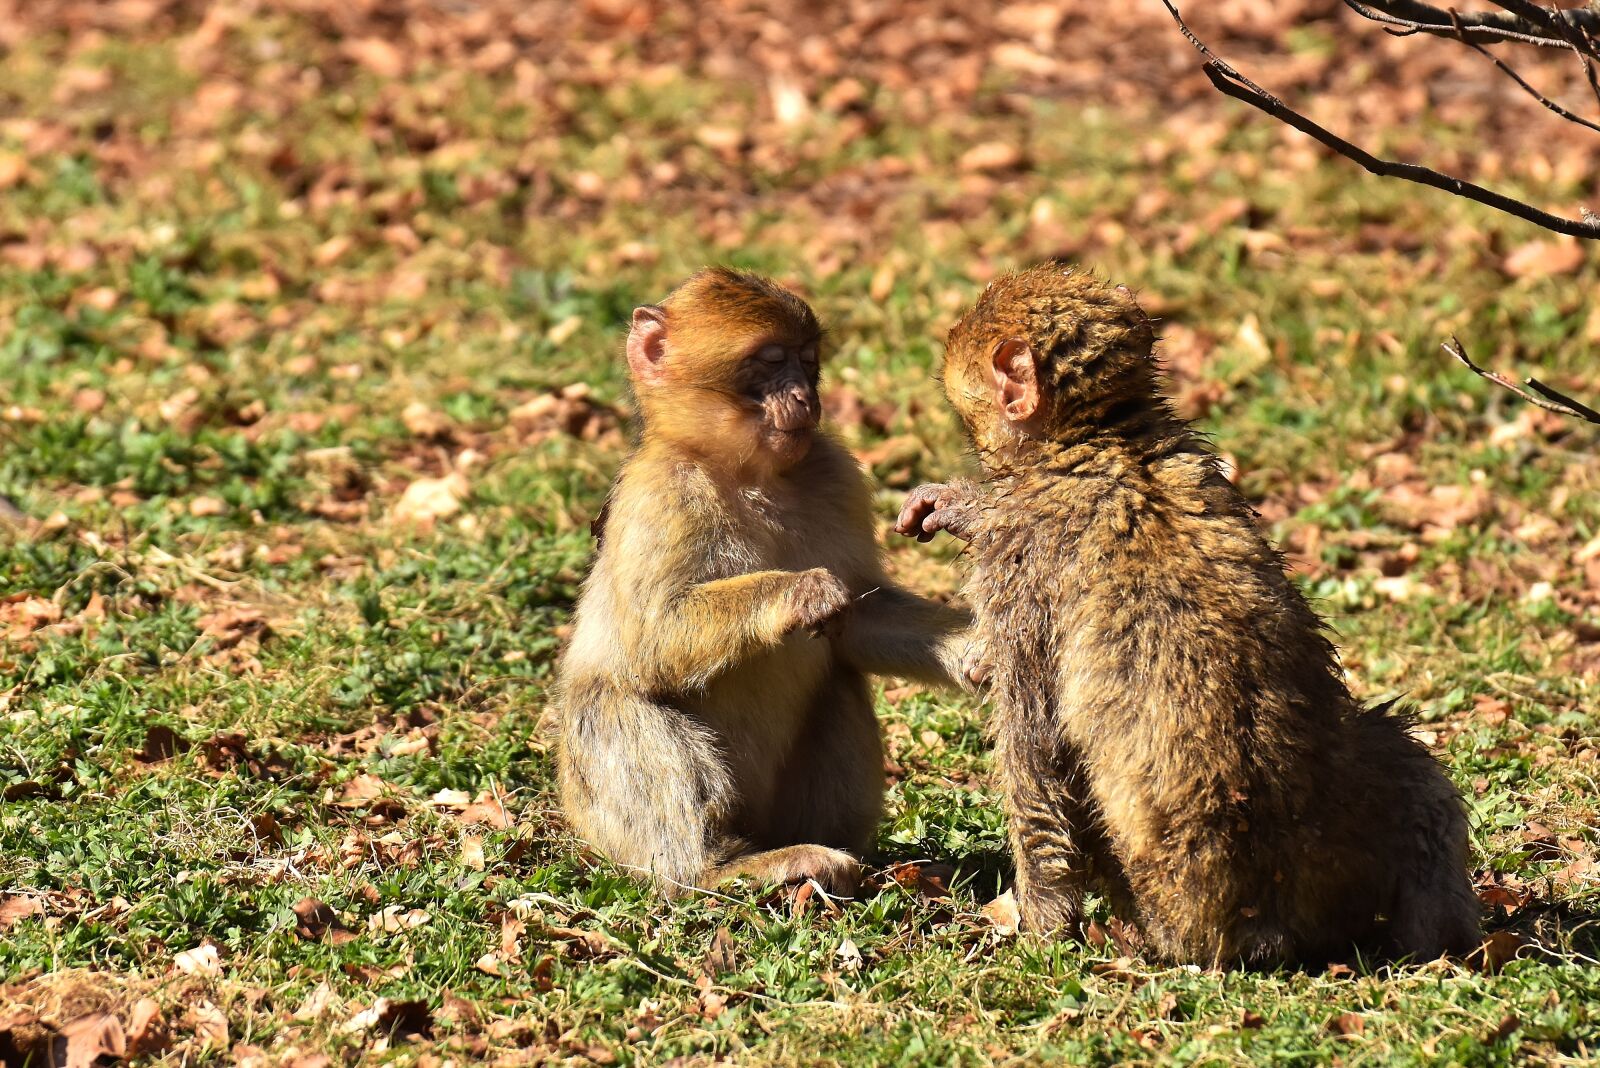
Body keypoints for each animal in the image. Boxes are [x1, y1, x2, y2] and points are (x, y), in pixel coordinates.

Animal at [556, 267, 976, 897]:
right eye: (770, 361)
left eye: (808, 360)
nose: (806, 397)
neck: (750, 475)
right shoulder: (660, 497)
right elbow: (650, 640)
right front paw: (801, 592)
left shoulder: (838, 476)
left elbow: (861, 620)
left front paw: (980, 651)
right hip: (608, 821)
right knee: (613, 704)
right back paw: (723, 868)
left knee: (839, 685)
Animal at [894, 264, 1480, 966]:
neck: (1102, 443)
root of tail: (1269, 920)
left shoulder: (1021, 569)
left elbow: (1038, 760)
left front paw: (1041, 926)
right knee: (1400, 756)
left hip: (1167, 914)